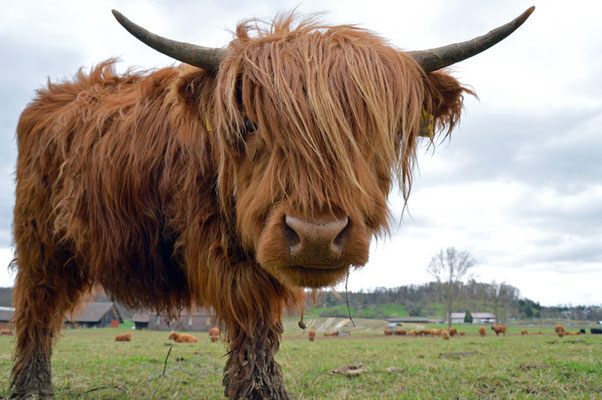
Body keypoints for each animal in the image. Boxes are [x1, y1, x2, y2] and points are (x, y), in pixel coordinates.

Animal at [9, 6, 532, 400]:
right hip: (40, 241)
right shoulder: (229, 255)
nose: (317, 236)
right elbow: (253, 322)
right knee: (36, 310)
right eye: (250, 125)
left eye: (373, 130)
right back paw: (31, 389)